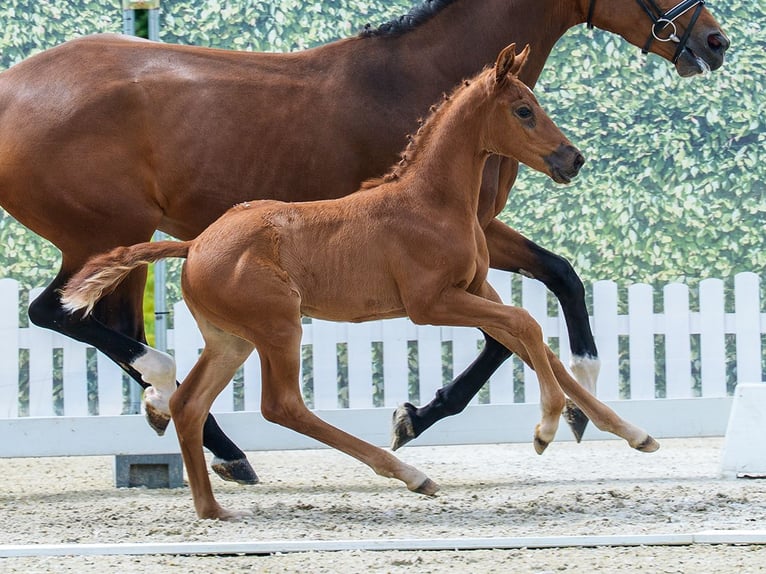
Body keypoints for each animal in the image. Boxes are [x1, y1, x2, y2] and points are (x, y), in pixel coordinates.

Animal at [0, 0, 727, 483]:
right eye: (522, 110)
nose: (716, 40)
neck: (419, 74)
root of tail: (11, 87)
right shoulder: (460, 246)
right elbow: (511, 326)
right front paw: (423, 417)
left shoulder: (476, 242)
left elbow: (557, 280)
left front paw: (581, 403)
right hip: (104, 230)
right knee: (57, 312)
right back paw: (179, 403)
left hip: (121, 241)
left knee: (110, 324)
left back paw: (207, 438)